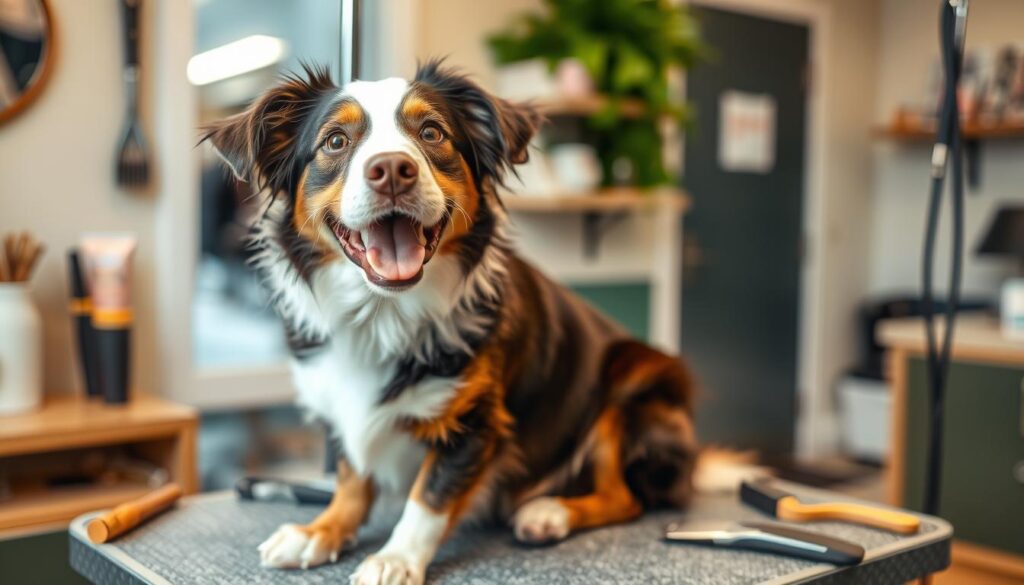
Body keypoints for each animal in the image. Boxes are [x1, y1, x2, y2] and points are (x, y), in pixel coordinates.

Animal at [201, 61, 696, 581]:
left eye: (432, 132)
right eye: (335, 141)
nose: (391, 170)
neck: (383, 315)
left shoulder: (475, 423)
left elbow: (429, 498)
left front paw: (395, 558)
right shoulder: (340, 407)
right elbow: (352, 477)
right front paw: (322, 530)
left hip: (634, 383)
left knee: (628, 497)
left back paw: (549, 512)